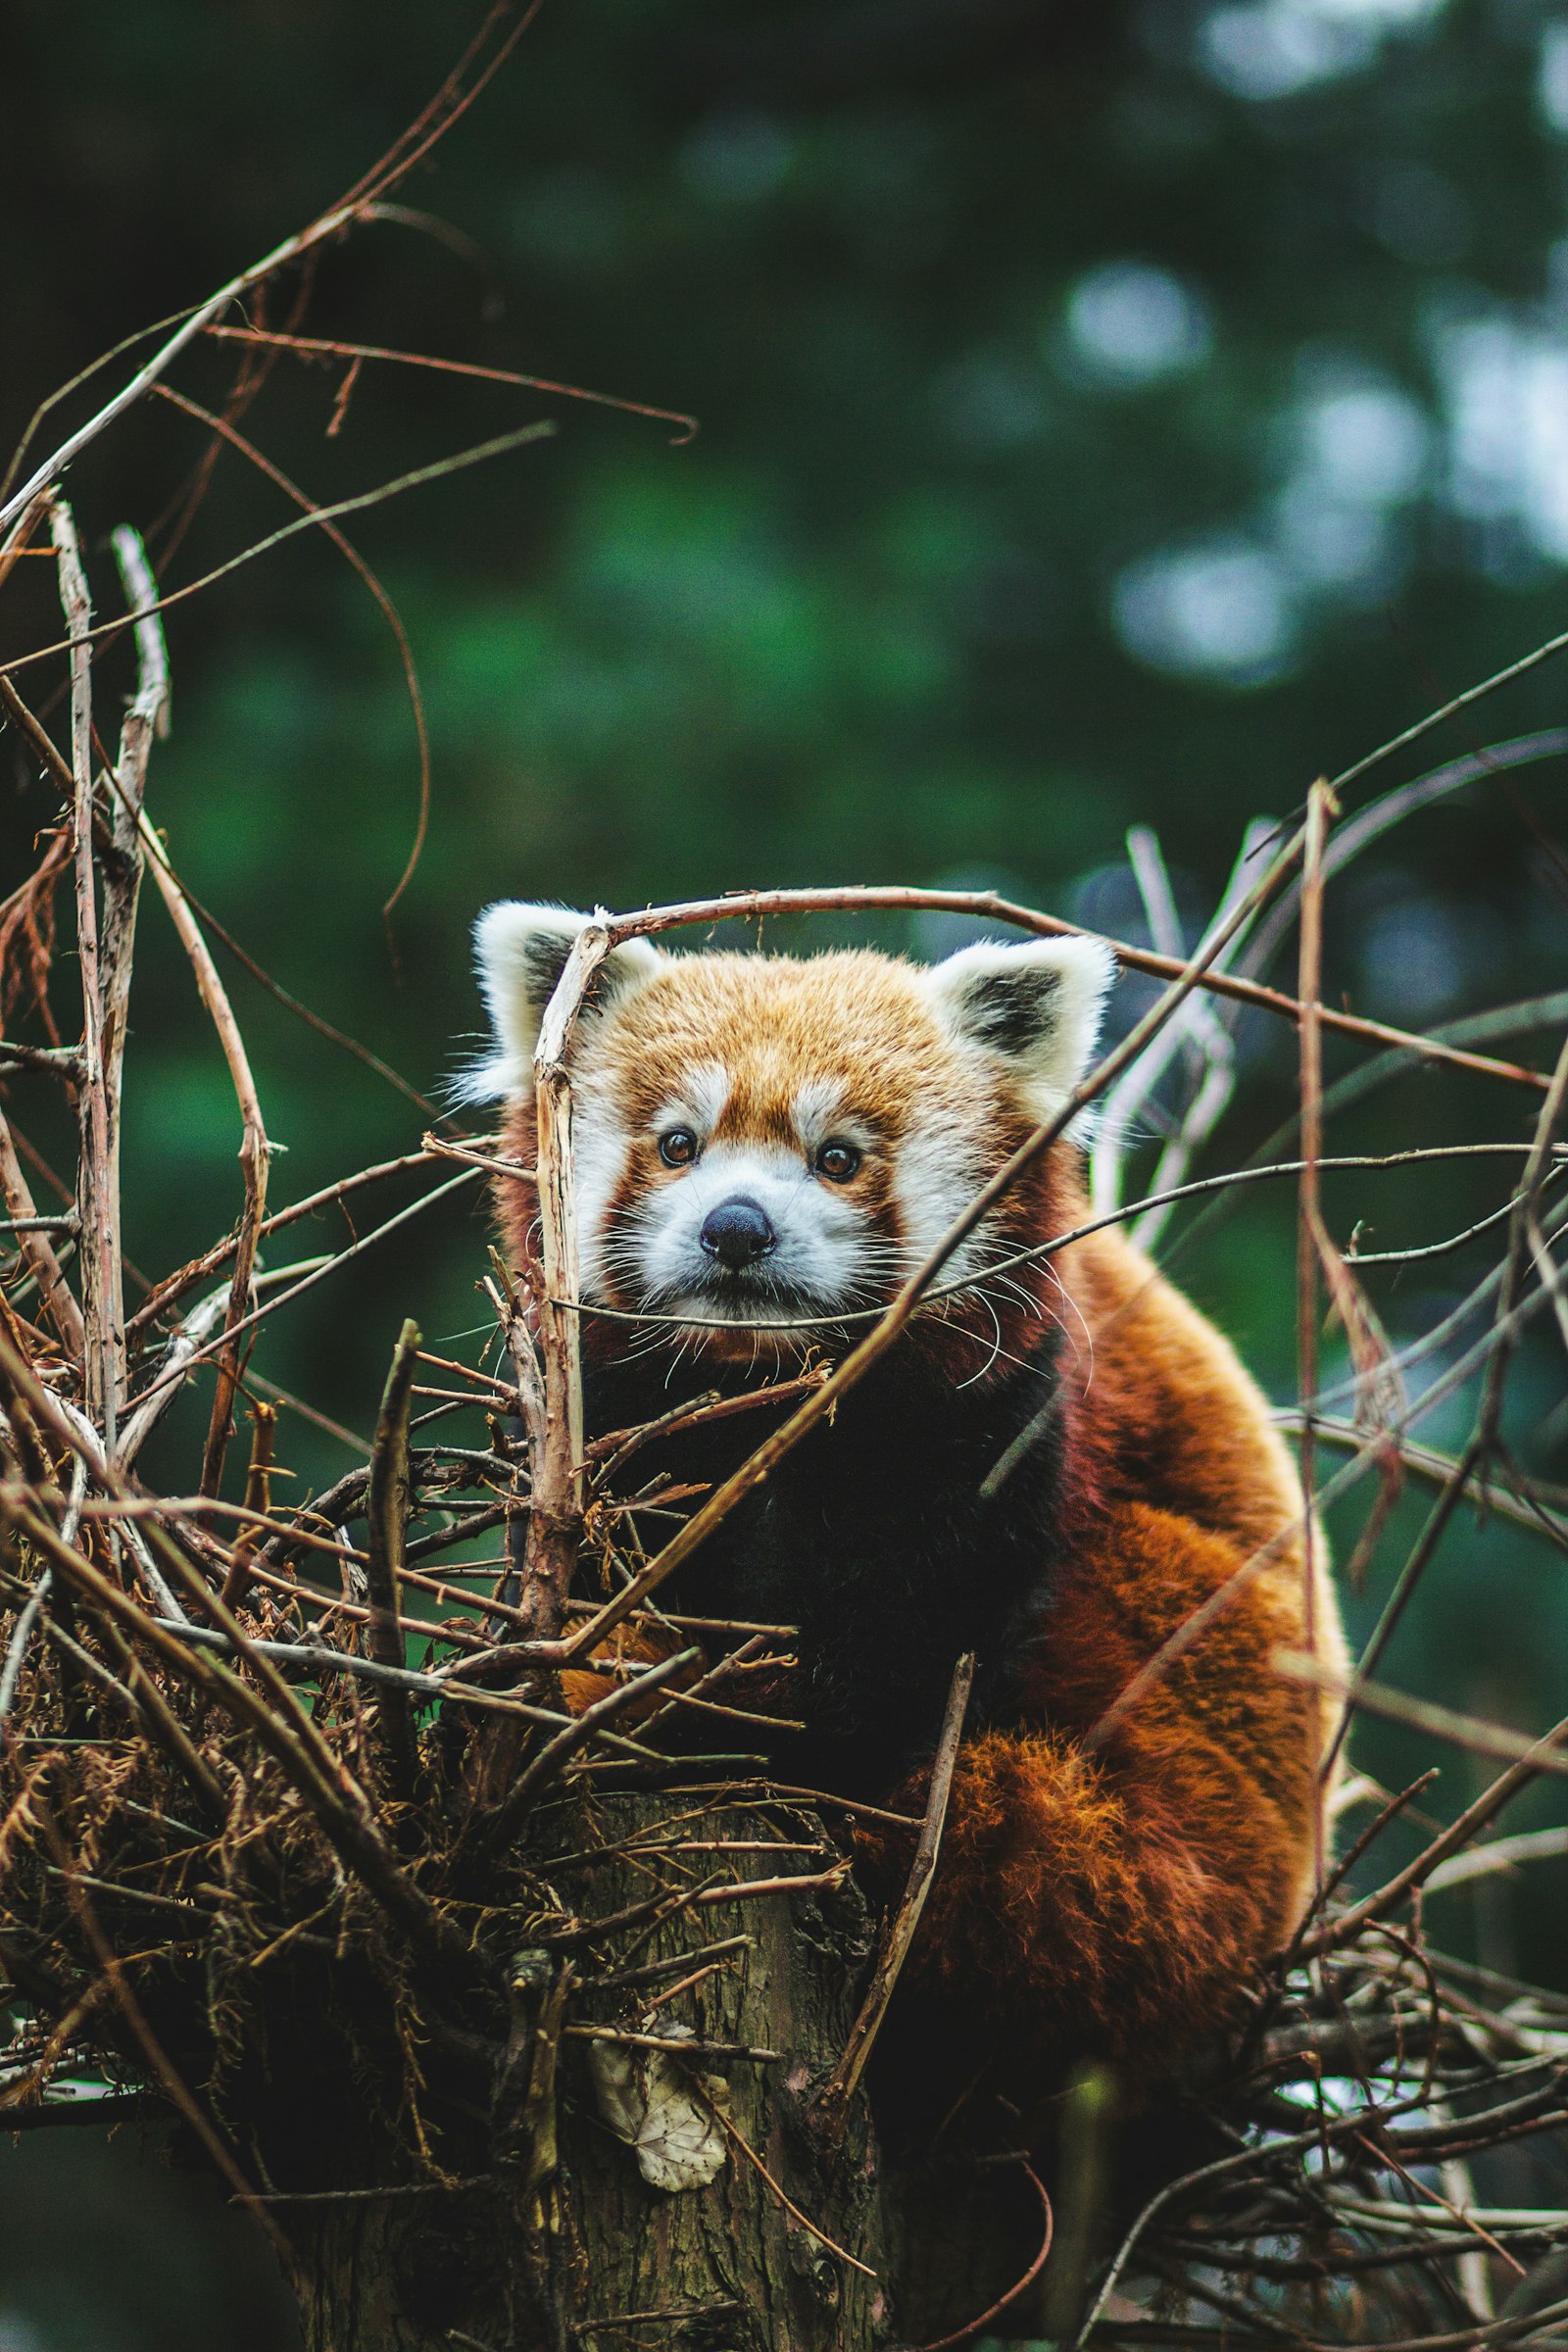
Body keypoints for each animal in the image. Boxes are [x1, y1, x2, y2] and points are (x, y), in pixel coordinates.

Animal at [465, 898, 1353, 2097]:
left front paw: (783, 1725)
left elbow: (910, 1633)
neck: (760, 1386)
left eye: (839, 1157)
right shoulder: (612, 1416)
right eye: (678, 1143)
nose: (735, 1228)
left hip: (1203, 1666)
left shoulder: (993, 1421)